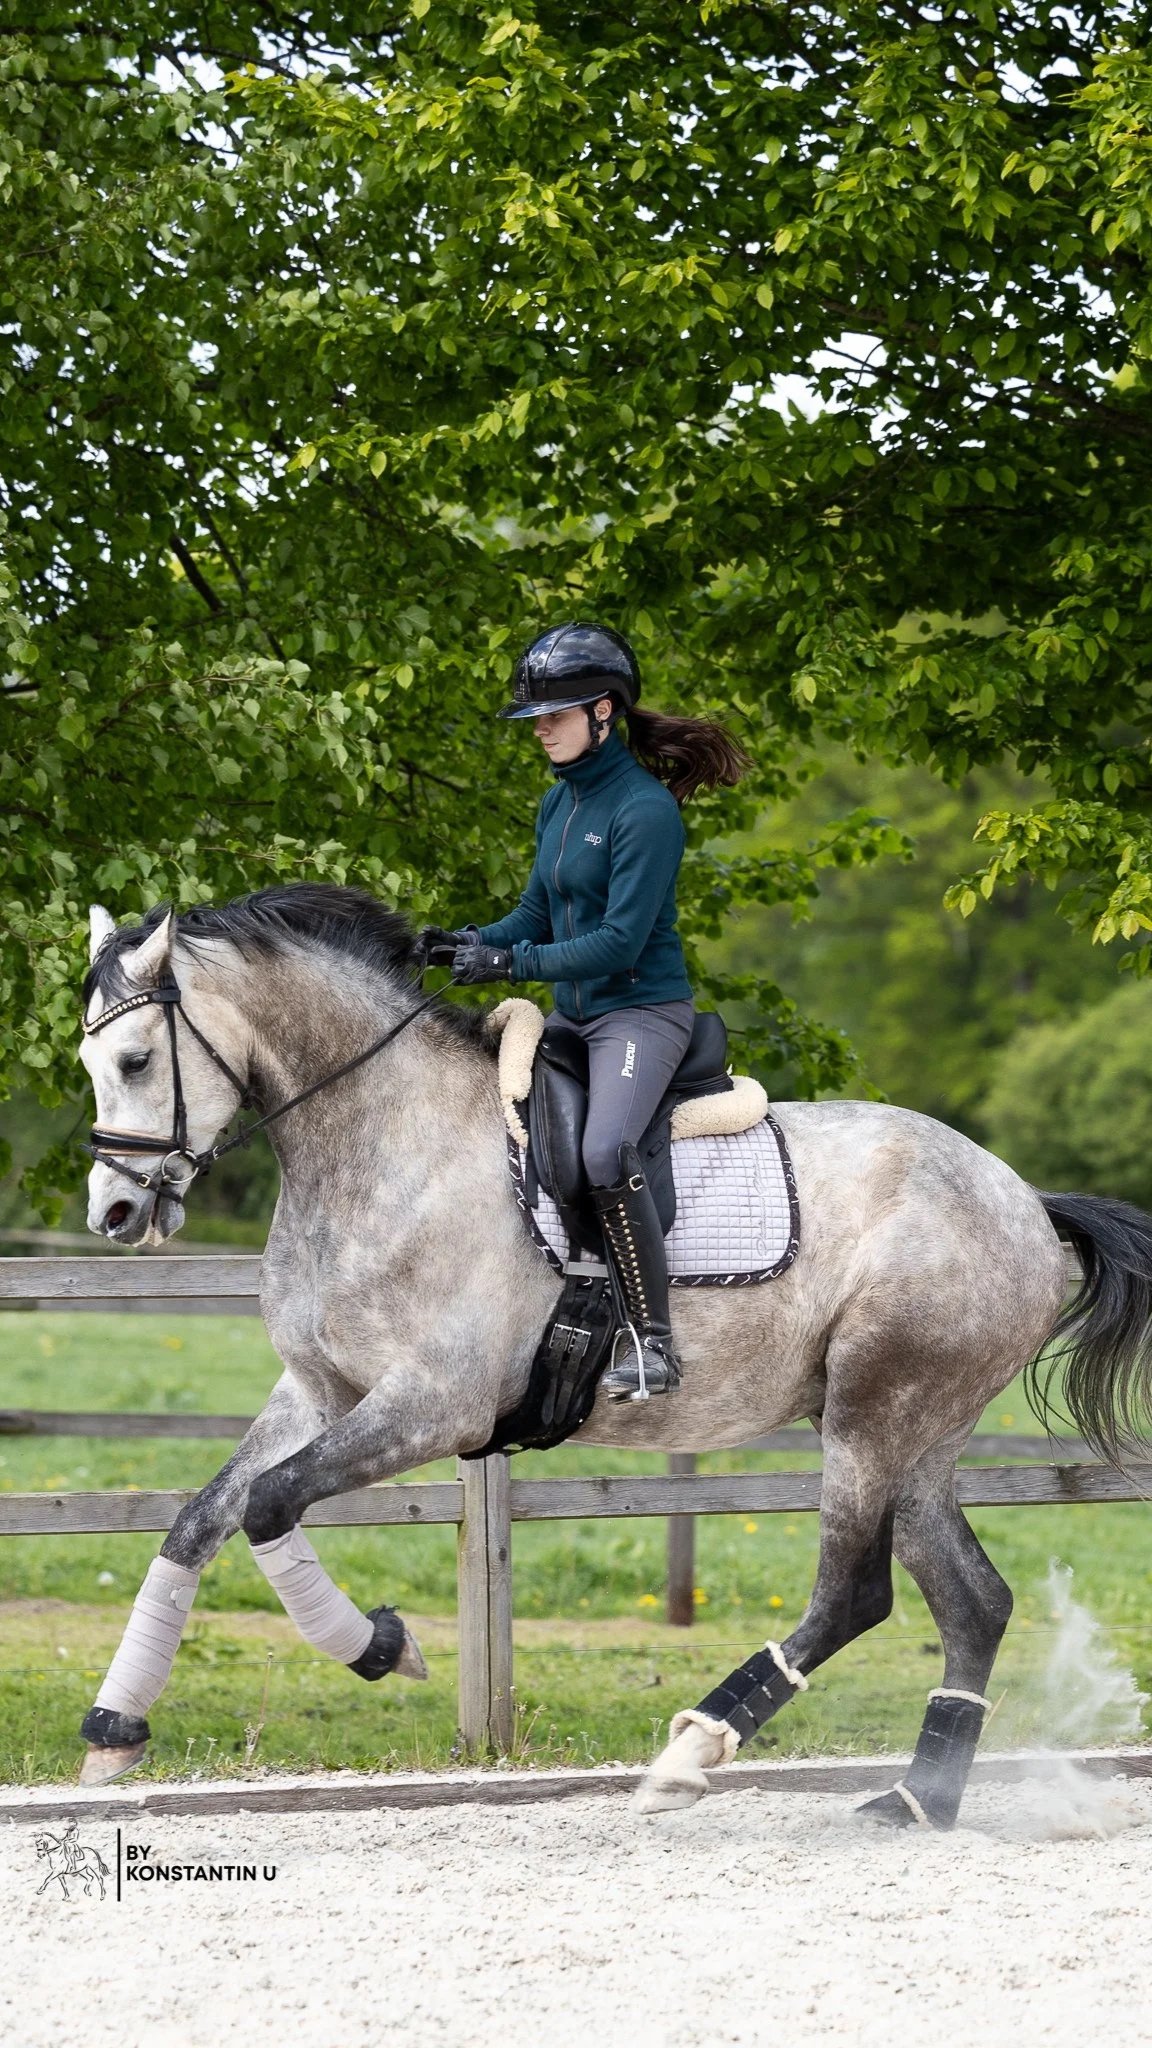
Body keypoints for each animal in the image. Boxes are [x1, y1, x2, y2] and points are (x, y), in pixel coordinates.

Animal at [76, 882, 1152, 1823]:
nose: (115, 1214)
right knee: (972, 1602)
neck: (383, 1143)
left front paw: (382, 1646)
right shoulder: (318, 1388)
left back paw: (692, 1753)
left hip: (872, 1414)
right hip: (916, 1435)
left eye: (133, 1060)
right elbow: (203, 1517)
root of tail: (1023, 1199)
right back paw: (917, 1800)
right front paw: (114, 1729)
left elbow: (270, 1502)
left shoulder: (433, 1405)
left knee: (855, 1593)